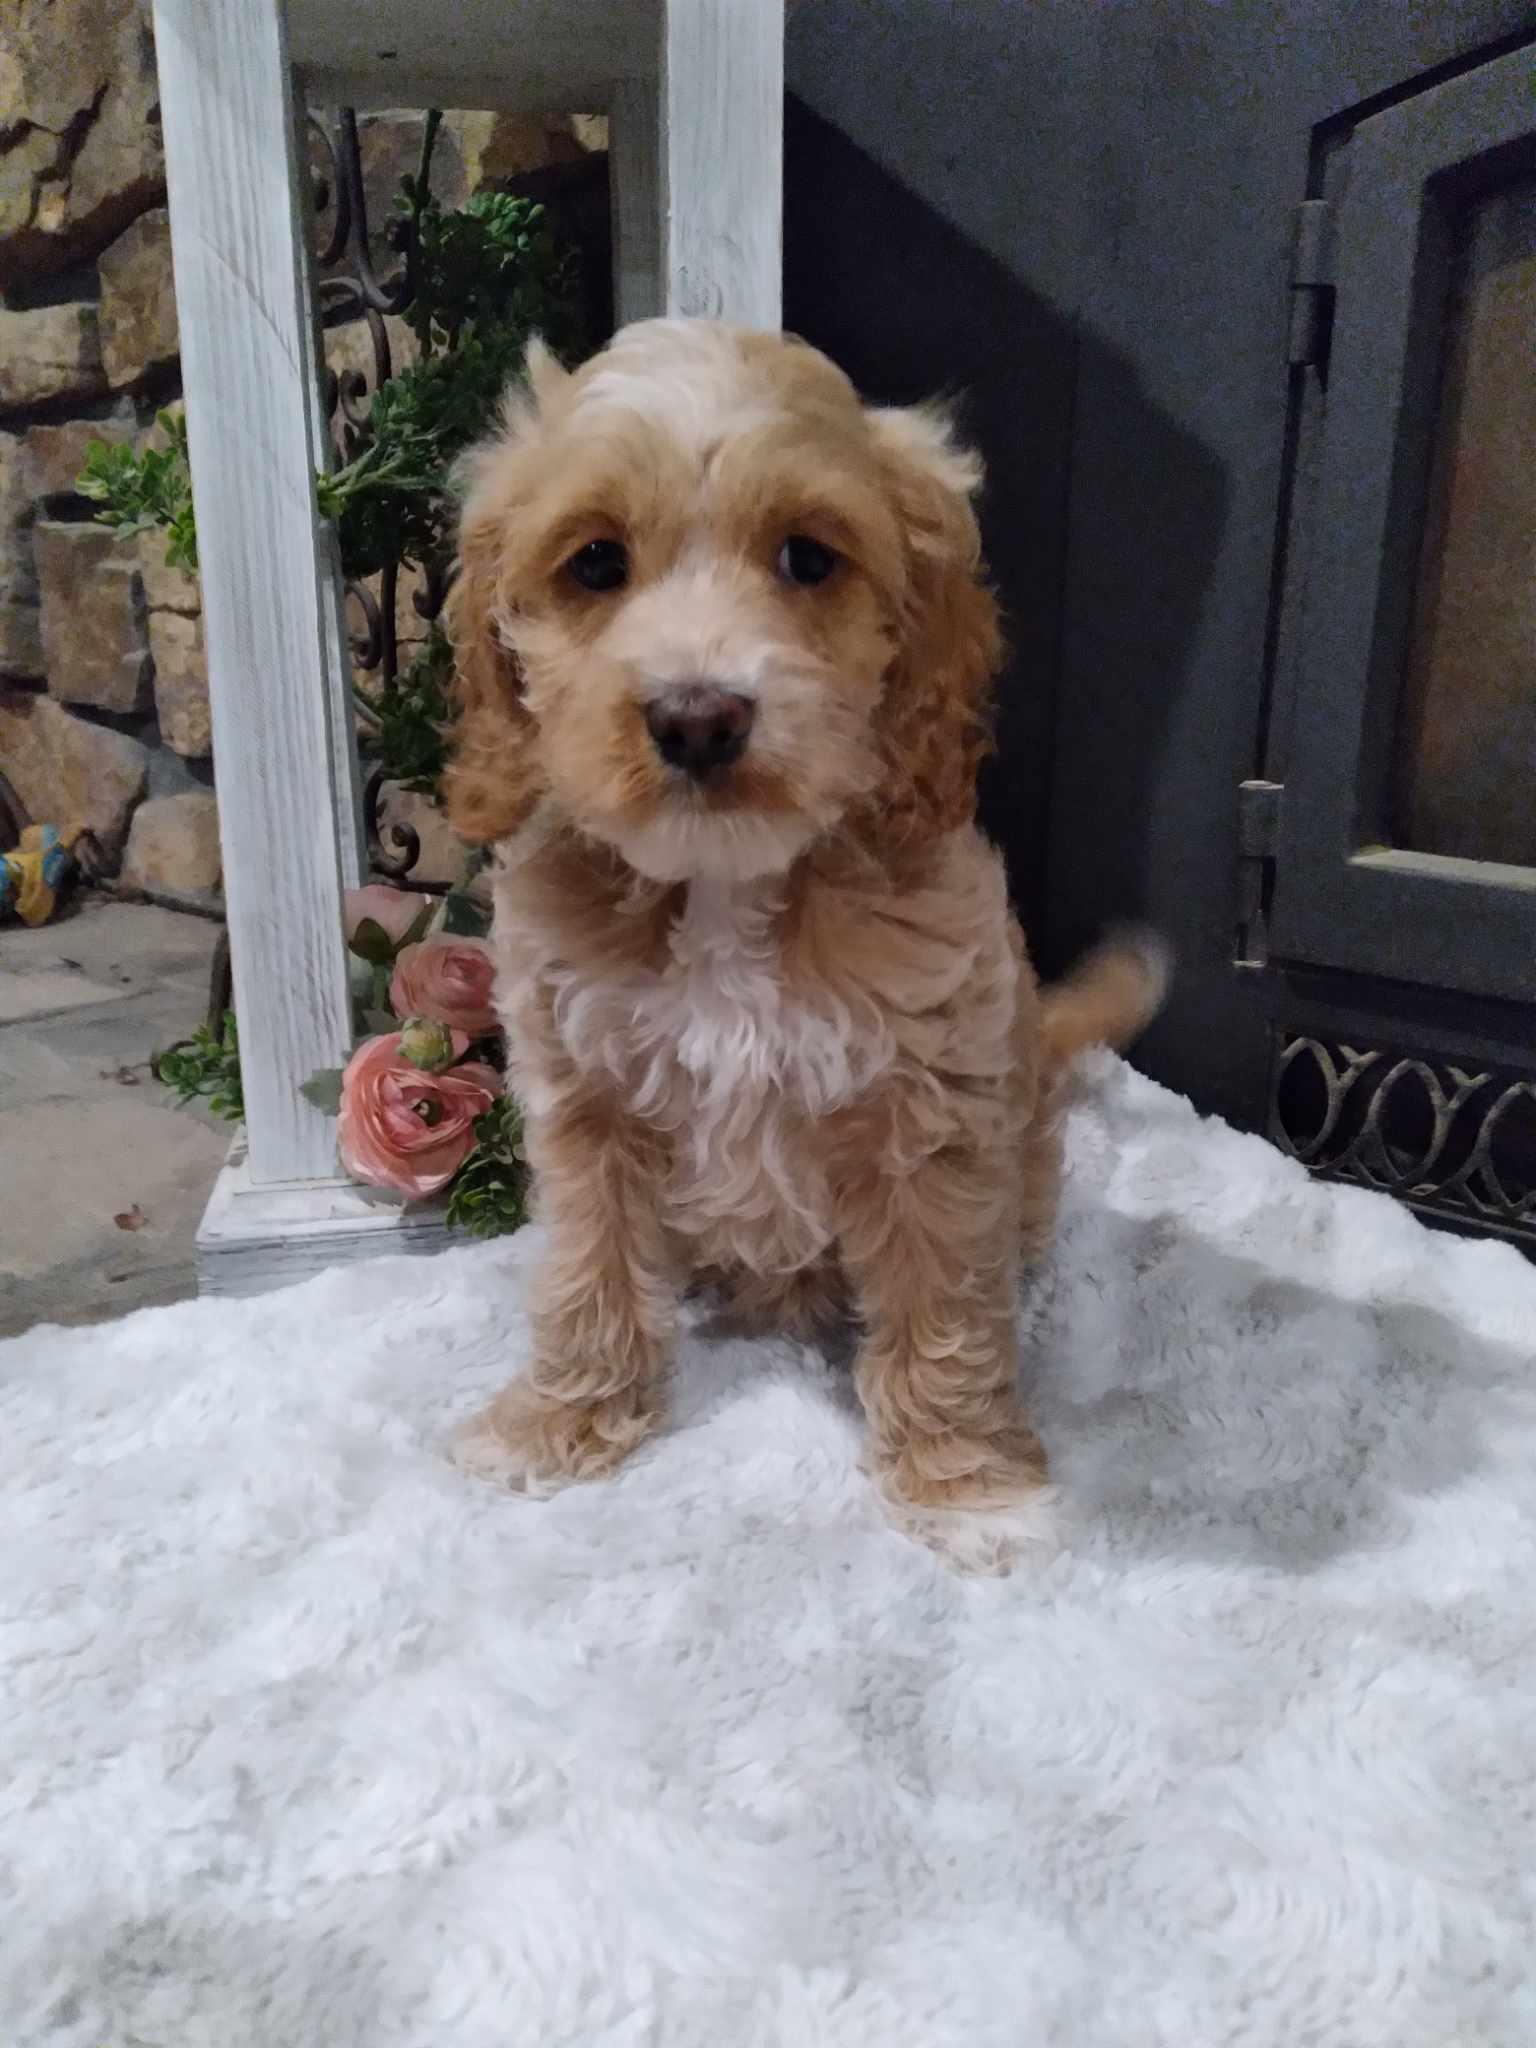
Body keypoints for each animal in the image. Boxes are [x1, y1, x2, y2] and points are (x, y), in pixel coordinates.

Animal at [443, 319, 1163, 1568]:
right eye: (595, 563)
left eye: (808, 559)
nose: (697, 718)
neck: (725, 882)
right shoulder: (584, 1093)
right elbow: (587, 1267)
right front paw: (557, 1422)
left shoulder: (930, 1109)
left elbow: (943, 1306)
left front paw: (966, 1484)